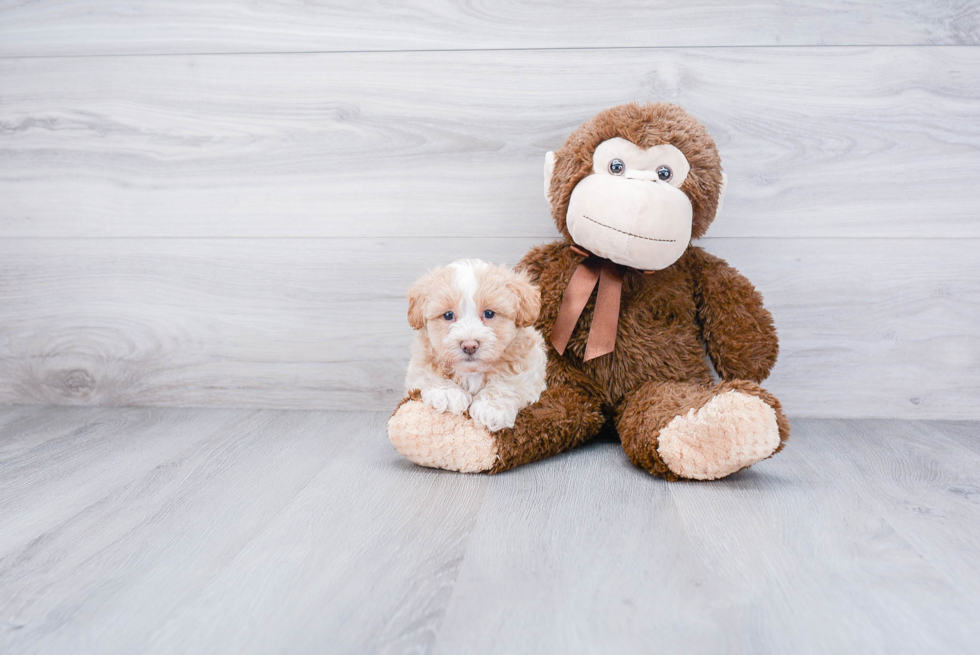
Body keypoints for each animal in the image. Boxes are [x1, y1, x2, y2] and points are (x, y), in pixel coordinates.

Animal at [402, 258, 548, 434]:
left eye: (489, 313)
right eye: (448, 315)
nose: (469, 345)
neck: (472, 372)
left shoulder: (530, 364)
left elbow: (510, 382)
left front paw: (491, 407)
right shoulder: (419, 362)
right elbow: (427, 372)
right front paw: (447, 393)